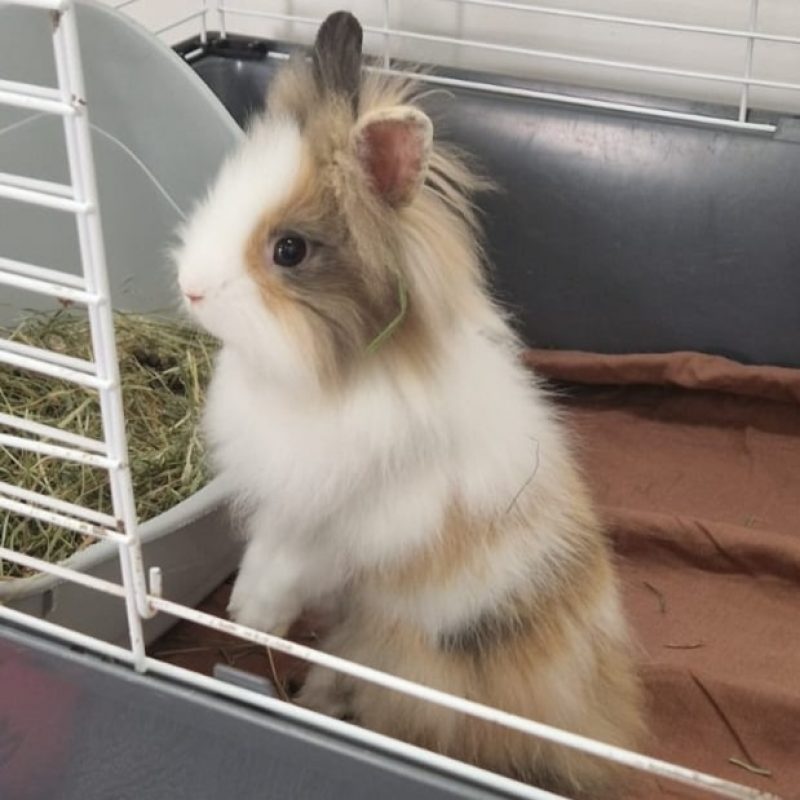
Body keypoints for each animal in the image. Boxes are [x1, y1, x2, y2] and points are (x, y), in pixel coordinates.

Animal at [174, 11, 645, 797]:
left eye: (290, 250)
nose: (191, 287)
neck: (325, 379)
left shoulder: (339, 521)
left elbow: (285, 568)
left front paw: (252, 619)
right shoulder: (284, 501)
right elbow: (265, 551)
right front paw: (246, 613)